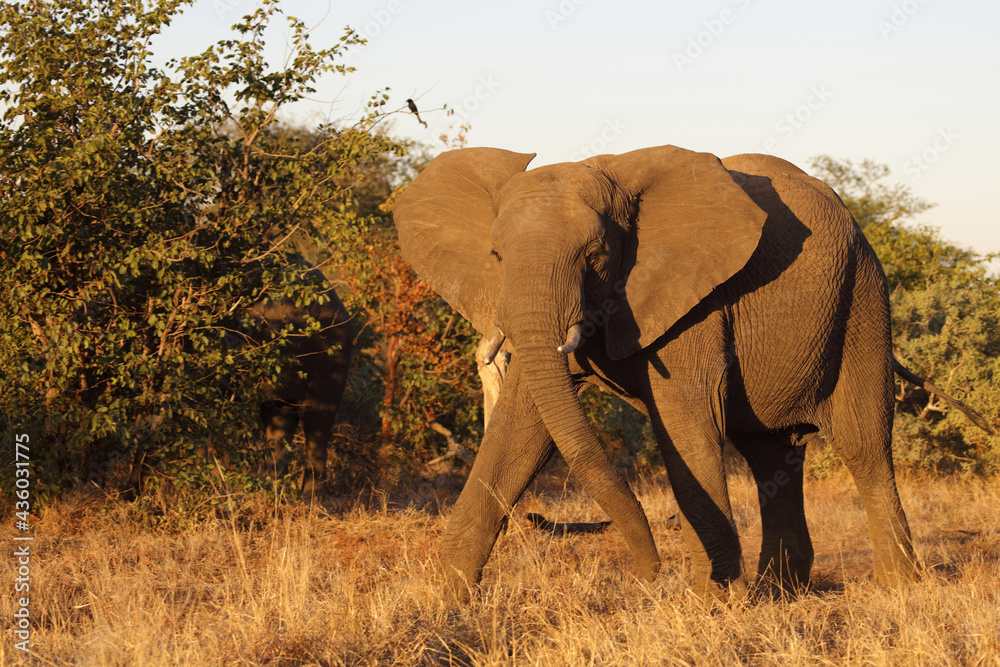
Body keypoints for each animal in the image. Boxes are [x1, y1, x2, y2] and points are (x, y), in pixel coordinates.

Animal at [392, 145, 991, 600]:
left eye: (595, 254)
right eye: (495, 255)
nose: (648, 577)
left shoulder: (696, 303)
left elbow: (685, 420)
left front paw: (709, 605)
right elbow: (520, 428)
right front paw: (445, 600)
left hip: (863, 300)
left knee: (864, 444)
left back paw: (897, 589)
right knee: (772, 453)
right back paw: (779, 592)